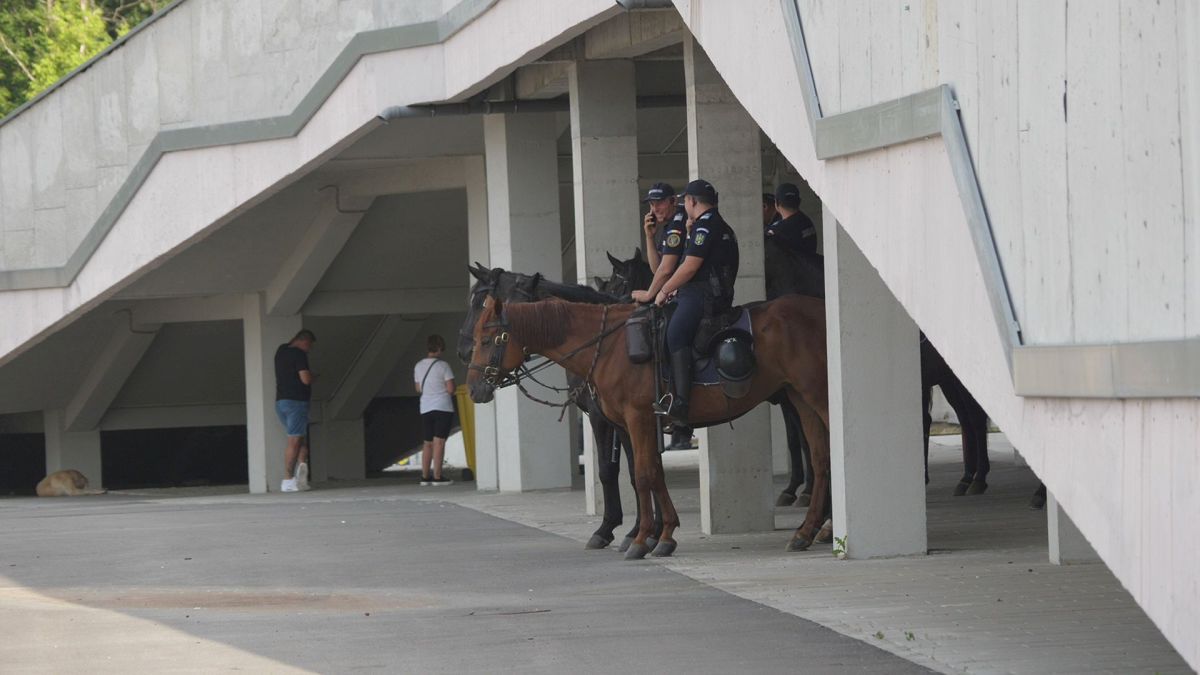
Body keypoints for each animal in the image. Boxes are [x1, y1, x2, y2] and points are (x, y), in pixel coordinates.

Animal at [463, 291, 830, 554]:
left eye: (486, 340)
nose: (475, 389)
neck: (607, 347)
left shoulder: (636, 418)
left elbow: (641, 475)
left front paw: (641, 539)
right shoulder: (630, 424)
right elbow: (651, 472)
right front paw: (661, 534)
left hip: (819, 395)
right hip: (799, 398)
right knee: (820, 459)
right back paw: (807, 530)